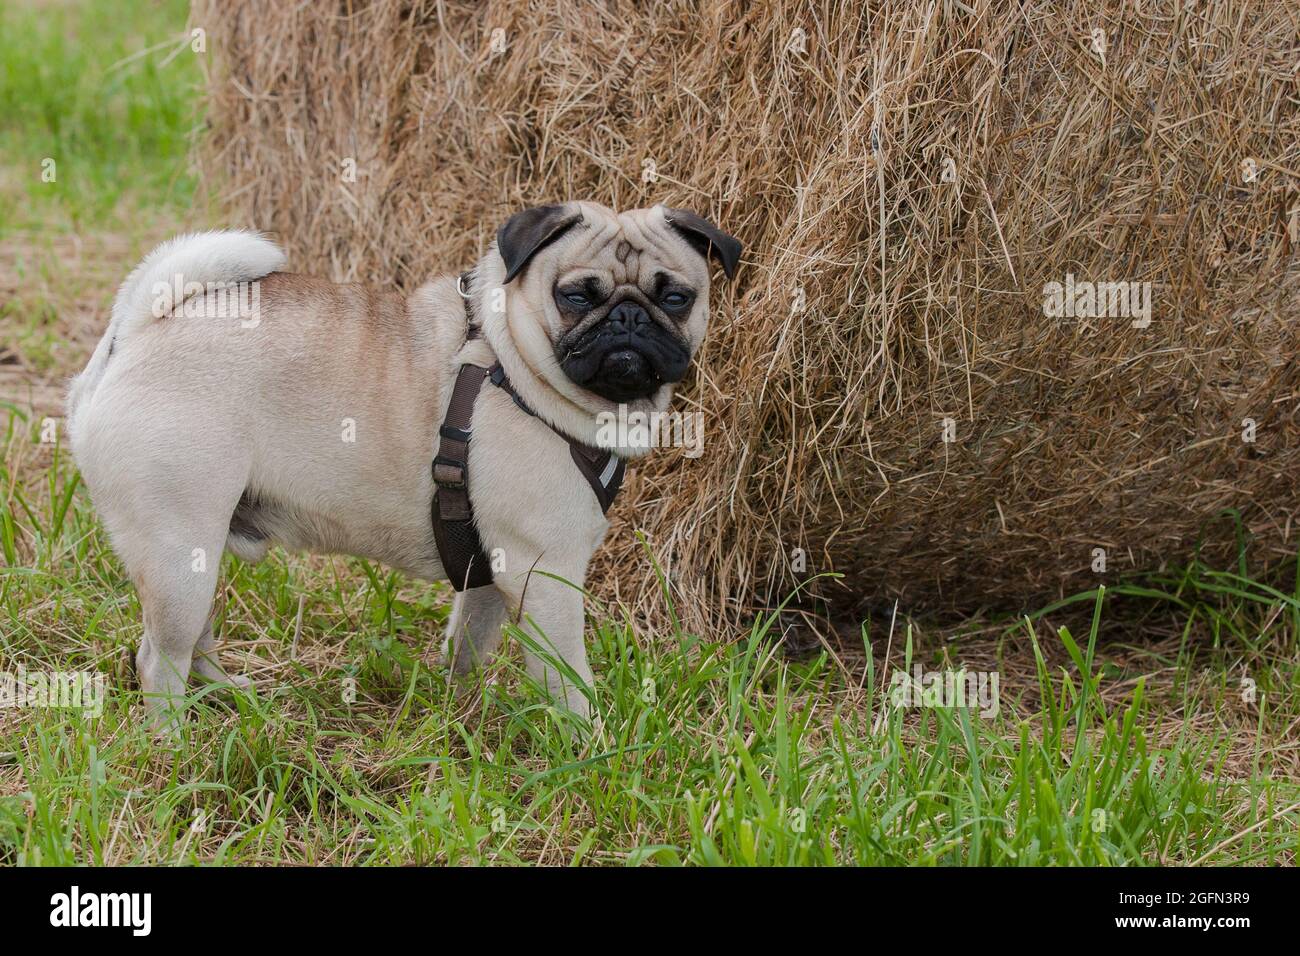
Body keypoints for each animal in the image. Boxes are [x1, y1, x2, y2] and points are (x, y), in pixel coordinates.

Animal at [65, 201, 743, 723]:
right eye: (575, 296)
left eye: (676, 298)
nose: (628, 319)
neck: (514, 366)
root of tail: (137, 329)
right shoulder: (544, 571)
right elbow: (565, 675)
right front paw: (588, 739)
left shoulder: (491, 572)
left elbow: (468, 647)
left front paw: (461, 713)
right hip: (179, 547)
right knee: (159, 658)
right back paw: (174, 740)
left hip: (196, 552)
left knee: (190, 641)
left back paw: (227, 697)